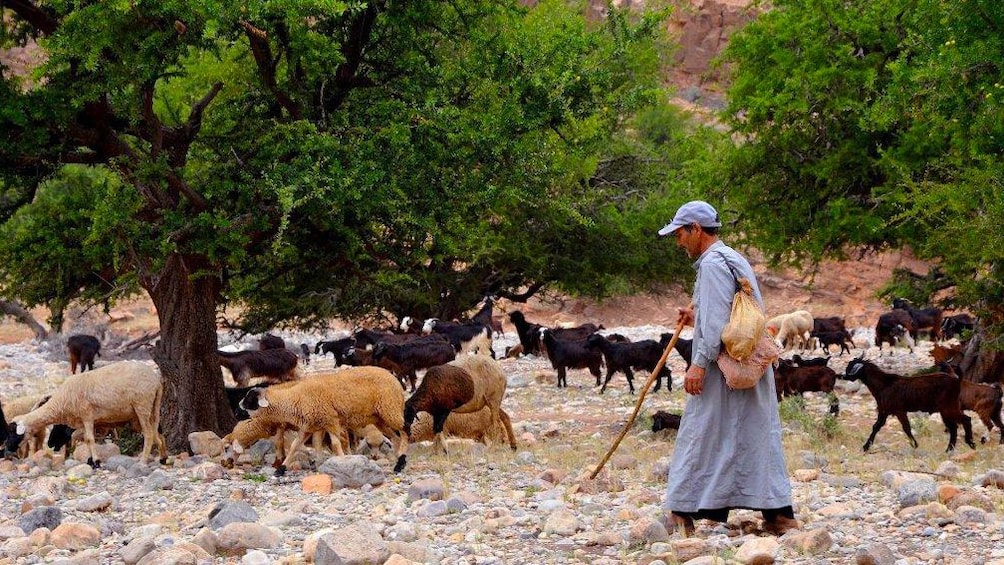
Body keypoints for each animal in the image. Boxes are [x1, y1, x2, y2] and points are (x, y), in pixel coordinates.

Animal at [8, 363, 164, 469]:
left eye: (14, 433)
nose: (8, 450)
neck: (61, 401)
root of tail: (156, 381)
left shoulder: (87, 415)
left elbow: (89, 439)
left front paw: (96, 462)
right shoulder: (82, 421)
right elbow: (84, 439)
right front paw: (90, 461)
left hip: (142, 405)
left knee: (149, 434)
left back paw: (143, 461)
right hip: (148, 410)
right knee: (157, 432)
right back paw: (163, 457)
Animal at [839, 361, 971, 453]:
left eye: (850, 367)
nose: (842, 376)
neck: (884, 384)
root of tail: (956, 380)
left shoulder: (899, 411)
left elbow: (906, 428)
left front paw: (915, 444)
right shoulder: (884, 411)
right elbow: (876, 427)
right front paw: (865, 447)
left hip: (948, 408)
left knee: (965, 420)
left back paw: (970, 443)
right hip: (947, 410)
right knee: (954, 427)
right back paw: (950, 449)